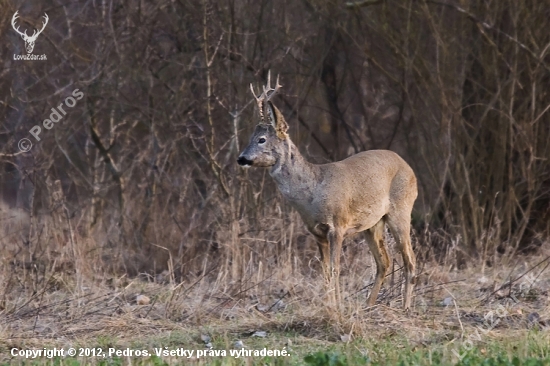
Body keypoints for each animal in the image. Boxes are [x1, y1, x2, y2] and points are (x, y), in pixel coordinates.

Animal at [237, 71, 418, 308]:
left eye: (261, 139)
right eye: (250, 138)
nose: (241, 158)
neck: (313, 193)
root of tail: (409, 167)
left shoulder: (338, 226)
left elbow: (335, 269)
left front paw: (337, 306)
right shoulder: (317, 232)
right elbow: (324, 273)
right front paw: (330, 305)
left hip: (401, 210)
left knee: (410, 260)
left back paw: (405, 307)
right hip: (373, 223)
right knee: (384, 262)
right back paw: (368, 305)